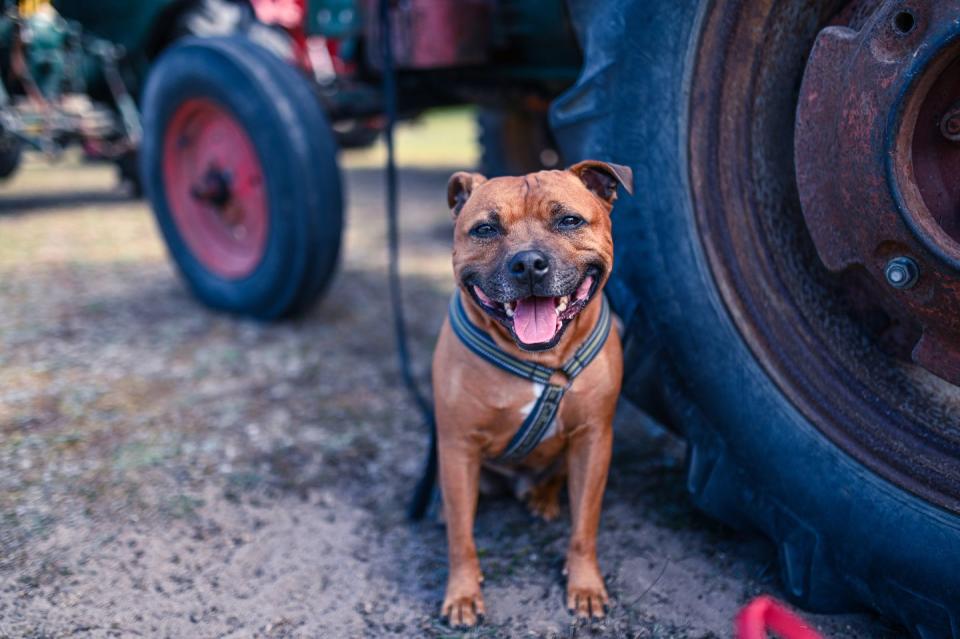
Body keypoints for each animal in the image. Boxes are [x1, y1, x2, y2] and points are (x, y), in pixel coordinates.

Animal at [434, 159, 632, 624]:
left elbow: (584, 527)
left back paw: (543, 497)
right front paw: (463, 593)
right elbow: (462, 538)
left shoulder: (593, 440)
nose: (527, 263)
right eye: (485, 229)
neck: (540, 359)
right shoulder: (457, 447)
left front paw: (585, 585)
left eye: (569, 221)